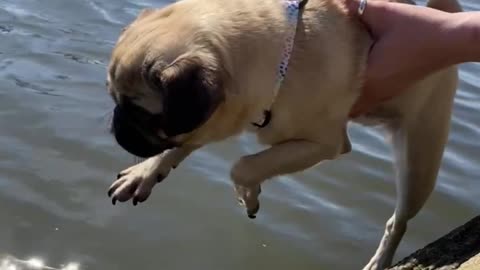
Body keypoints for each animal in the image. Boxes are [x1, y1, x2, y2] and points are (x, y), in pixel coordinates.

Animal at [105, 0, 462, 268]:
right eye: (115, 100)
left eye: (141, 114)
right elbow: (182, 145)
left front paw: (248, 194)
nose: (116, 126)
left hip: (418, 163)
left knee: (398, 221)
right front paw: (147, 172)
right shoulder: (217, 117)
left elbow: (244, 166)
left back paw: (381, 260)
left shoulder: (323, 144)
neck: (283, 58)